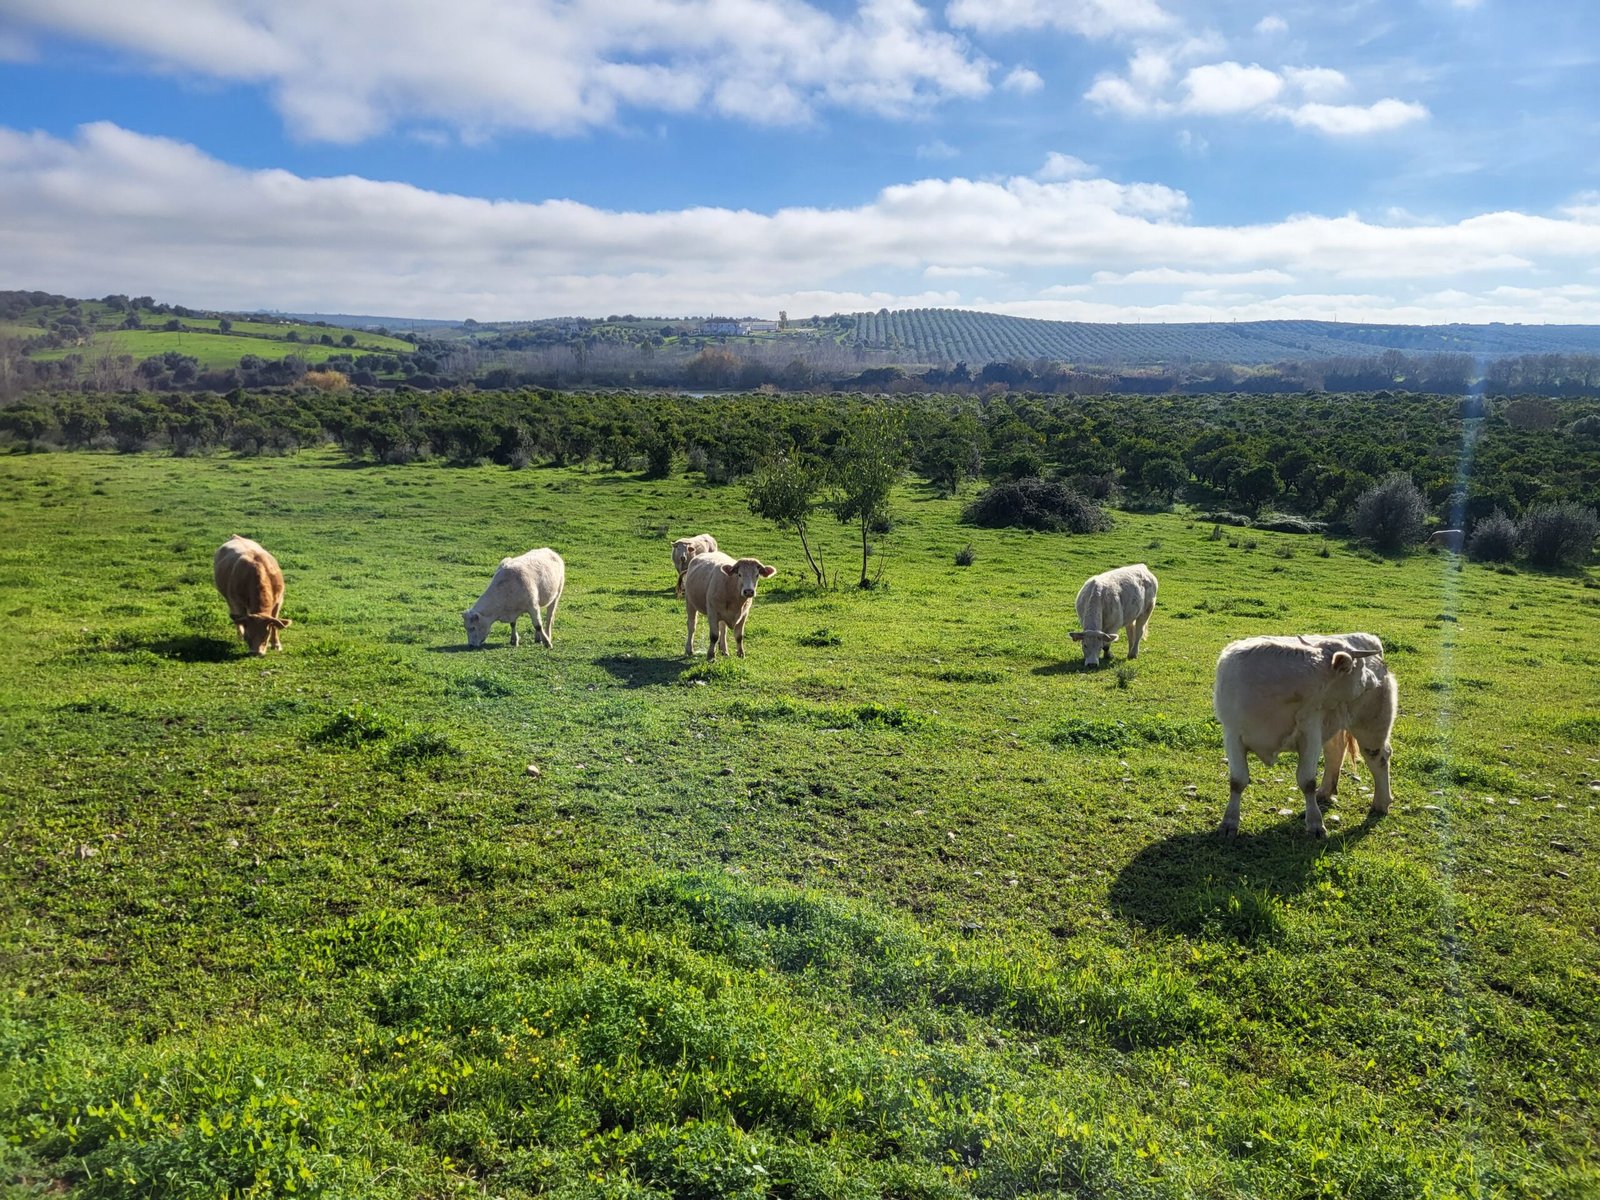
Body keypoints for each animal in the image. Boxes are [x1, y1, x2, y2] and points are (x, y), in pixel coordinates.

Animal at [1213, 633, 1398, 838]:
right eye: (1358, 667)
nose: (1375, 679)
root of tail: (1367, 637)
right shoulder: (1232, 734)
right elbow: (1237, 781)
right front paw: (1229, 822)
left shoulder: (1310, 733)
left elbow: (1307, 781)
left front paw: (1315, 823)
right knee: (1335, 753)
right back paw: (1324, 792)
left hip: (1371, 726)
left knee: (1378, 758)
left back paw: (1381, 803)